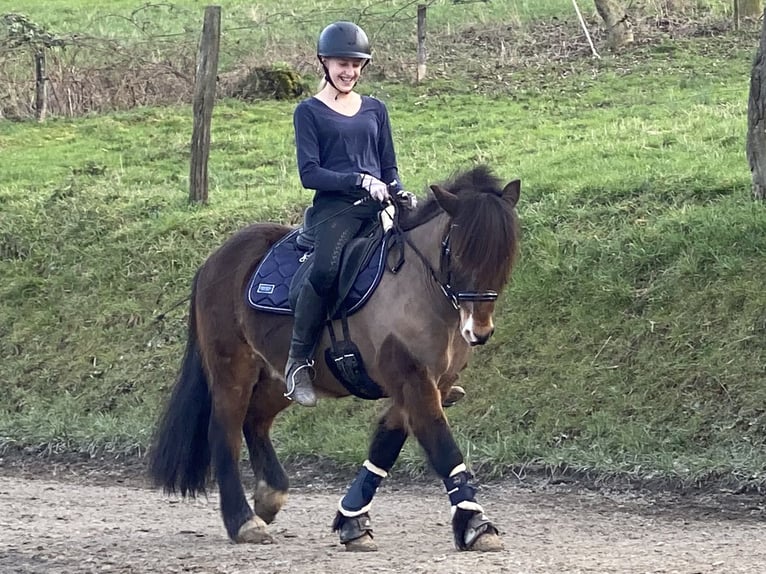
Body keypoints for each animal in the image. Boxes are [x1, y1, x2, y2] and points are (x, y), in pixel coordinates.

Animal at [148, 164, 521, 552]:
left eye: (505, 255)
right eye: (458, 252)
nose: (478, 331)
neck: (419, 287)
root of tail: (215, 260)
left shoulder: (429, 383)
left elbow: (385, 445)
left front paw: (352, 520)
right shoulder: (411, 379)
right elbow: (442, 447)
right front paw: (475, 524)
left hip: (278, 377)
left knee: (255, 419)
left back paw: (269, 496)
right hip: (232, 366)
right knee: (225, 431)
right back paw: (243, 521)